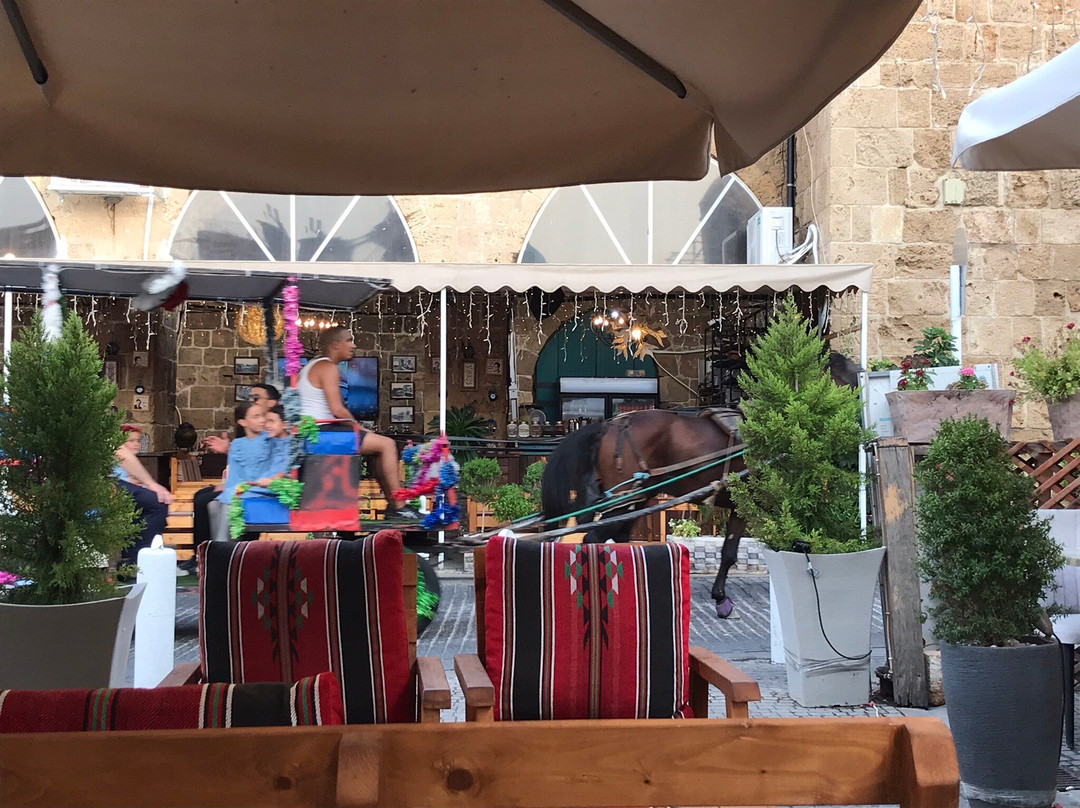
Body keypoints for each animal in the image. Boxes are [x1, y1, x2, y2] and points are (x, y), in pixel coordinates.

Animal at [539, 351, 862, 619]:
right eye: (852, 378)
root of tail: (610, 424)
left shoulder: (739, 506)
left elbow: (730, 551)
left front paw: (720, 597)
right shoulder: (760, 503)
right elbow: (778, 543)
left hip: (635, 500)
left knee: (617, 540)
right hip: (622, 500)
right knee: (592, 540)